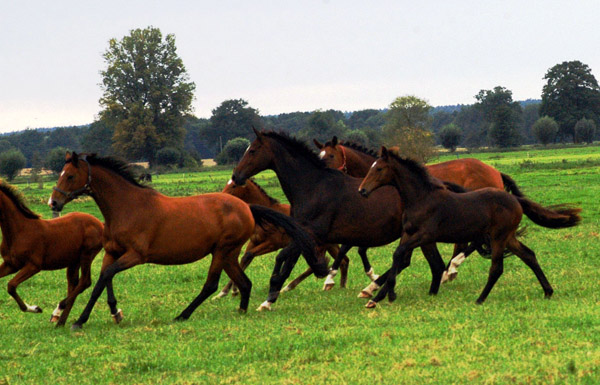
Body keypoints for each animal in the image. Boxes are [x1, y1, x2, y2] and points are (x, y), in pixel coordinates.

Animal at [0, 182, 103, 326]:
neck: (19, 231)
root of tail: (100, 224)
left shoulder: (33, 266)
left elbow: (11, 285)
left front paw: (35, 308)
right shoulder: (11, 264)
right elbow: (10, 285)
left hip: (87, 255)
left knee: (85, 282)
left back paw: (57, 312)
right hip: (73, 261)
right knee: (73, 284)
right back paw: (60, 322)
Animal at [49, 152, 326, 328]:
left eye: (70, 176)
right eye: (61, 174)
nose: (54, 202)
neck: (127, 207)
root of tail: (247, 207)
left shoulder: (135, 256)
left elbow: (104, 277)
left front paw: (79, 320)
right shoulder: (111, 252)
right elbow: (102, 280)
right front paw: (109, 313)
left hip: (222, 251)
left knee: (212, 285)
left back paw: (182, 315)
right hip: (229, 253)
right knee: (244, 282)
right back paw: (242, 311)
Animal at [232, 130, 452, 310]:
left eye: (252, 151)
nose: (236, 177)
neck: (313, 187)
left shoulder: (312, 234)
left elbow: (282, 258)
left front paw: (270, 297)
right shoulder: (300, 234)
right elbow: (287, 263)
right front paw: (271, 298)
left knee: (429, 264)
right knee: (425, 263)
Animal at [314, 136, 524, 282]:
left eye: (331, 155)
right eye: (319, 156)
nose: (323, 175)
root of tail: (495, 171)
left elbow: (353, 247)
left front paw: (335, 277)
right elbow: (352, 247)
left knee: (471, 243)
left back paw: (452, 268)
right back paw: (451, 269)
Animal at [358, 146, 584, 308]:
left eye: (379, 169)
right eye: (371, 167)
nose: (362, 190)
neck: (422, 198)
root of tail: (515, 199)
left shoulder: (425, 235)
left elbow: (400, 255)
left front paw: (383, 294)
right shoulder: (408, 234)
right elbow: (399, 257)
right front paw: (380, 295)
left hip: (498, 237)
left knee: (496, 267)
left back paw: (479, 298)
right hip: (508, 237)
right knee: (529, 255)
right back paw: (548, 291)